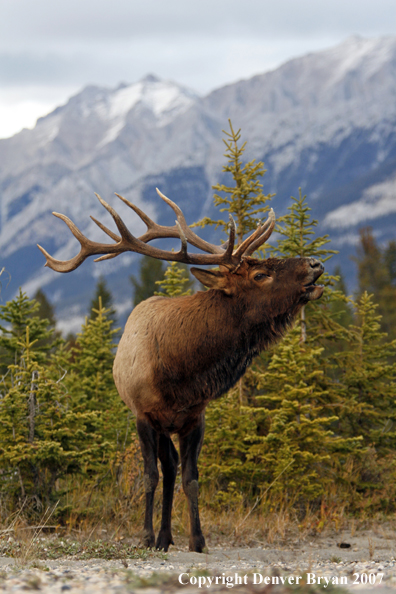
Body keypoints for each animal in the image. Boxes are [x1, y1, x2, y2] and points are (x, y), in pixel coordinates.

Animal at [37, 188, 324, 552]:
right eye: (260, 275)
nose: (315, 263)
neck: (182, 373)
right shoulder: (144, 415)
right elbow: (150, 476)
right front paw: (145, 536)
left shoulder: (194, 418)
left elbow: (191, 479)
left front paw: (197, 539)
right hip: (158, 424)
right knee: (165, 467)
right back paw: (158, 536)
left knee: (173, 467)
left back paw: (167, 535)